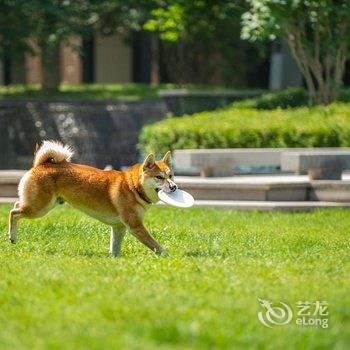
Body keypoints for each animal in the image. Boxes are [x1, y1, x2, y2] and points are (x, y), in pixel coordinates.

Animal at [8, 141, 178, 256]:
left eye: (170, 176)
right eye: (159, 177)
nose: (174, 187)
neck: (133, 187)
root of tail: (41, 165)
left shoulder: (119, 227)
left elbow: (115, 246)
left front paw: (114, 259)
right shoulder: (135, 226)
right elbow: (155, 245)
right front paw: (167, 255)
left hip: (41, 205)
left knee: (17, 204)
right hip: (39, 208)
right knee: (13, 212)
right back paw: (12, 237)